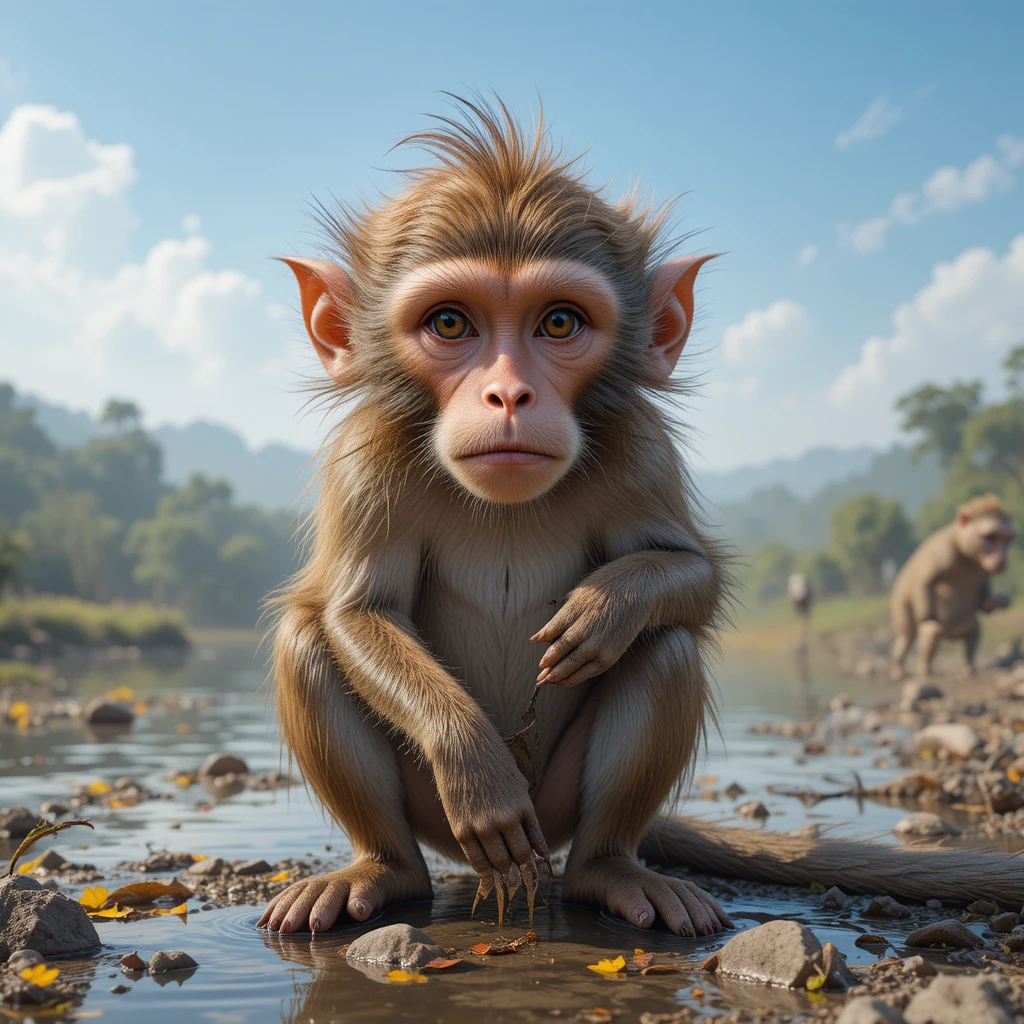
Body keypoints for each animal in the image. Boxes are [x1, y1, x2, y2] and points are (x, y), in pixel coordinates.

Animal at [890, 494, 1015, 681]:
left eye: (1005, 538)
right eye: (990, 537)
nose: (1001, 559)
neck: (968, 555)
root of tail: (950, 634)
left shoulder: (984, 571)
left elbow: (983, 601)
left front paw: (998, 601)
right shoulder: (942, 551)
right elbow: (925, 581)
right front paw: (927, 615)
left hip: (963, 626)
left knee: (974, 631)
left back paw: (969, 668)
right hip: (901, 601)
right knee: (914, 635)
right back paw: (914, 669)